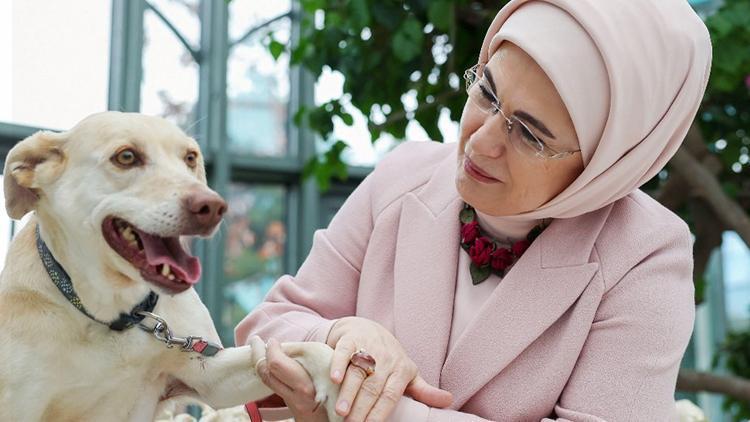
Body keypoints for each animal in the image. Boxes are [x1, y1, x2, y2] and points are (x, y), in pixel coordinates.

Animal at [0, 112, 340, 422]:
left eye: (190, 157)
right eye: (126, 156)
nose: (212, 206)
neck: (116, 315)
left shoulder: (211, 375)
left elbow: (303, 348)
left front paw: (340, 385)